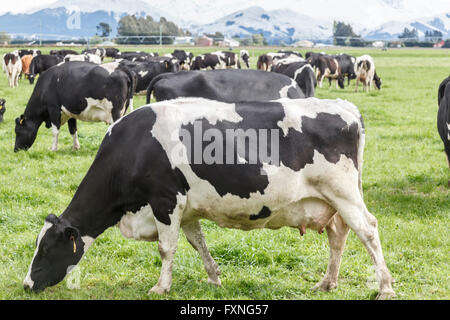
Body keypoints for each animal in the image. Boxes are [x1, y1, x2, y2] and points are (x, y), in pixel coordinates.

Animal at [24, 95, 396, 300]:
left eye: (47, 249)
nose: (27, 284)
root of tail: (345, 106)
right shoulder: (187, 209)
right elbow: (197, 243)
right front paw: (215, 277)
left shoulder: (165, 201)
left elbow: (166, 248)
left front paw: (161, 287)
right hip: (329, 202)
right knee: (338, 236)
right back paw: (327, 283)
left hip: (343, 192)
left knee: (368, 230)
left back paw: (385, 287)